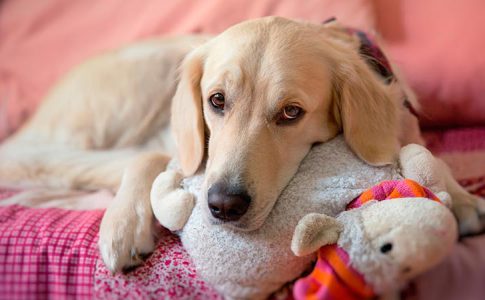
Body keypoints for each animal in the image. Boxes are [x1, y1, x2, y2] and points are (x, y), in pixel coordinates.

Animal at [0, 18, 482, 272]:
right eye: (216, 101)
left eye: (291, 112)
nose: (223, 206)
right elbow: (152, 158)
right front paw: (122, 225)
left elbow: (422, 155)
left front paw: (459, 198)